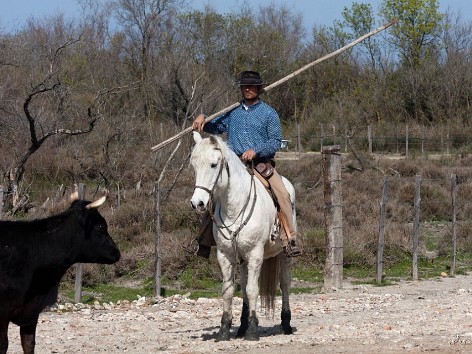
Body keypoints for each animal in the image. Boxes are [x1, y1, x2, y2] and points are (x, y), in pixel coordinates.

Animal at [189, 132, 296, 340]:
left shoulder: (255, 254)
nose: (197, 203)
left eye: (213, 164)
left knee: (284, 283)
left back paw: (286, 323)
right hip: (243, 258)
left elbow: (253, 290)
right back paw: (242, 326)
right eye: (194, 165)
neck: (235, 207)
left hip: (283, 253)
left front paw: (253, 331)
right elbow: (229, 291)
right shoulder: (225, 255)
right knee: (246, 284)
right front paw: (224, 329)